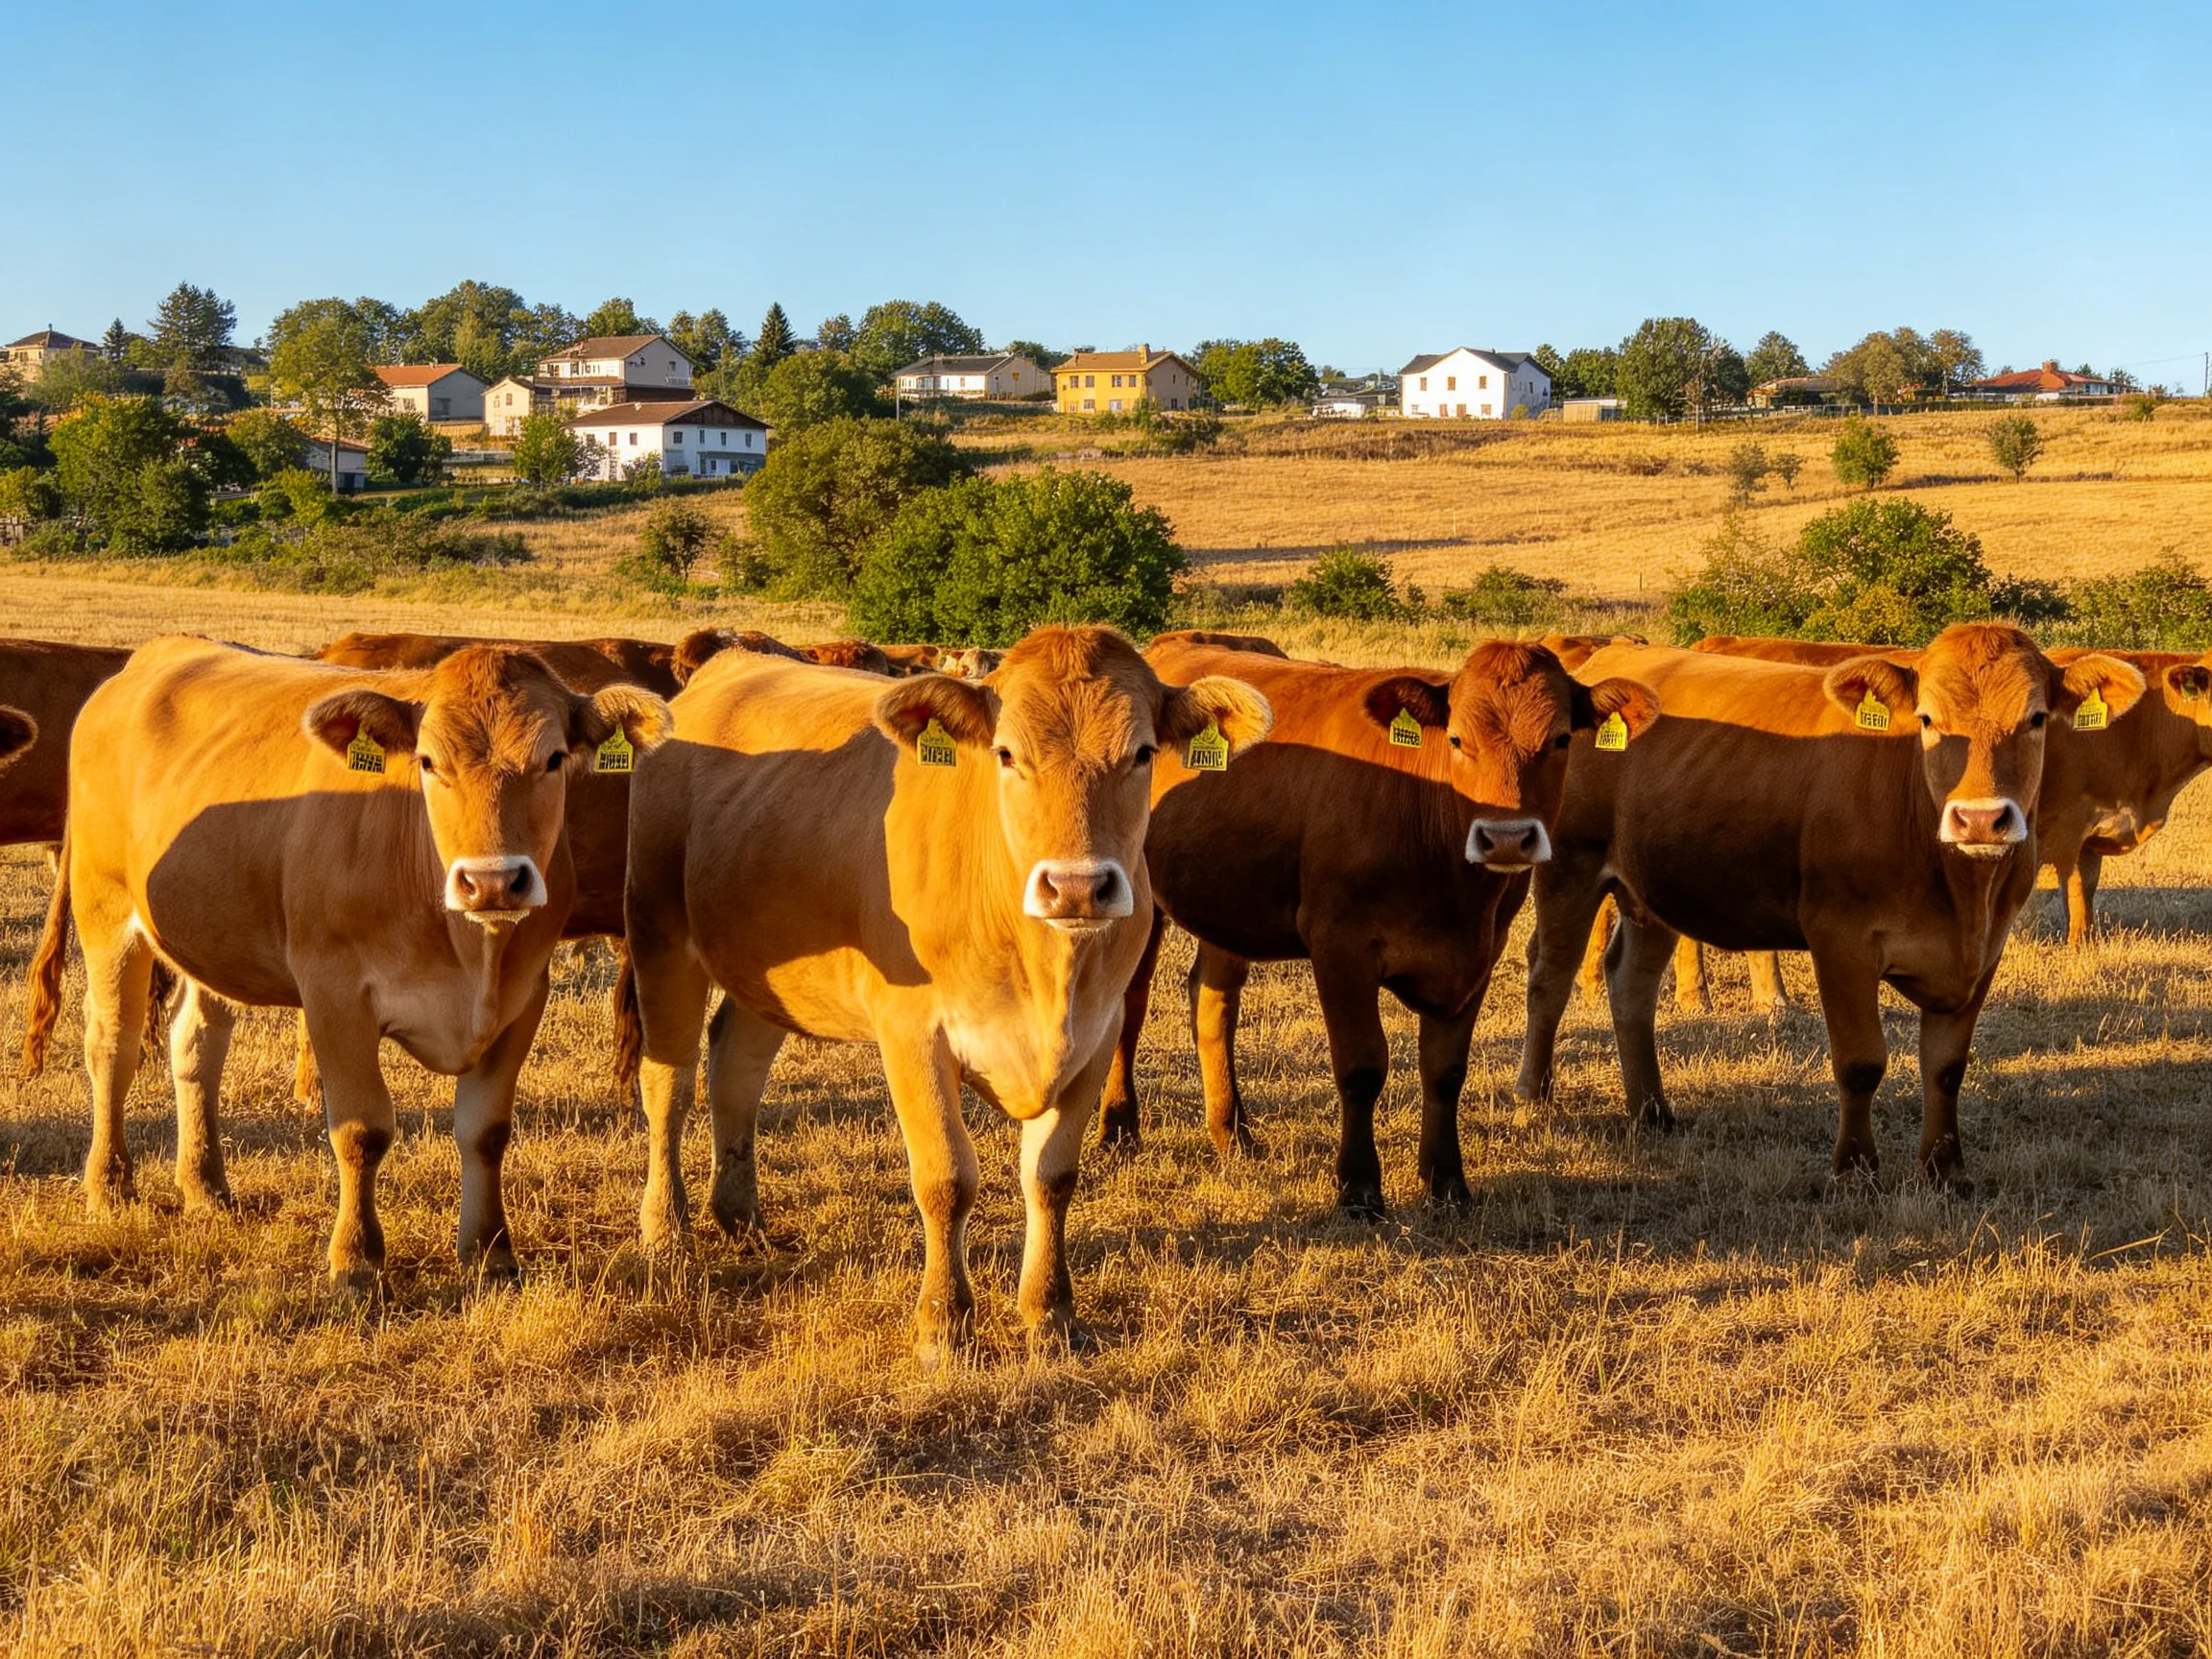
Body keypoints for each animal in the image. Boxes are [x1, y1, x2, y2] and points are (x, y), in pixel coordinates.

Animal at [21, 638, 669, 1287]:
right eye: (428, 761)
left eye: (555, 759)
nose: (492, 881)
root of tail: (159, 654)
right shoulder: (335, 995)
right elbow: (361, 1130)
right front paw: (356, 1258)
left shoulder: (522, 998)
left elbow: (486, 1132)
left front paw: (491, 1253)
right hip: (106, 914)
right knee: (113, 1045)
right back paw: (109, 1187)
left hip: (211, 936)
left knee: (196, 1046)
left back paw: (206, 1187)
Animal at [617, 625, 1271, 1367]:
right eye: (1007, 753)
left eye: (1142, 754)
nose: (1077, 886)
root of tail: (727, 664)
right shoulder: (912, 1034)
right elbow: (946, 1178)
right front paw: (943, 1322)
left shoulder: (1097, 1036)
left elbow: (1051, 1177)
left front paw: (1050, 1314)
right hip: (659, 932)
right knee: (669, 1083)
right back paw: (665, 1230)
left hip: (766, 965)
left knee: (736, 1064)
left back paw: (740, 1215)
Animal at [1095, 631, 1660, 1214]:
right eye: (1457, 739)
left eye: (1561, 740)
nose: (1506, 839)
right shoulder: (1340, 946)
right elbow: (1362, 1066)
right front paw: (1359, 1186)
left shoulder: (1480, 954)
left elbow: (1445, 1071)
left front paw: (1447, 1181)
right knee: (1130, 1007)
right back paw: (1118, 1129)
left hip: (1229, 902)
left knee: (1212, 1002)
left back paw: (1232, 1133)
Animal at [1518, 625, 2143, 1188]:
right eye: (1926, 720)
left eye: (2036, 719)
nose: (1981, 819)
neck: (1959, 886)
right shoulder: (1840, 940)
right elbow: (1860, 1062)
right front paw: (1855, 1169)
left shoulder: (1984, 951)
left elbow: (1945, 1068)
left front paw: (1945, 1171)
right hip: (1569, 866)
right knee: (1550, 975)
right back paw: (1534, 1095)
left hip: (1652, 891)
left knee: (1632, 983)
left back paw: (1652, 1110)